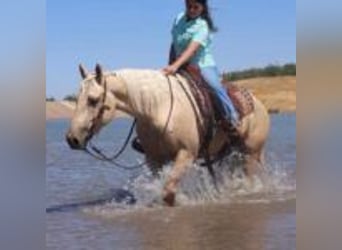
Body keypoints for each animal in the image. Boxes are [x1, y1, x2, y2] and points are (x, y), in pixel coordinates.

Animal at [66, 64, 270, 205]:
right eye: (77, 99)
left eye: (93, 100)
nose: (71, 139)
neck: (158, 108)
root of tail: (259, 105)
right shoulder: (154, 159)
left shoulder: (186, 154)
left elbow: (168, 192)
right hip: (231, 155)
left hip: (251, 154)